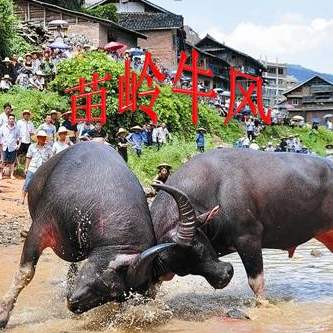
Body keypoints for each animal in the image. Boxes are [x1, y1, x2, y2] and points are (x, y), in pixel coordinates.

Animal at [0, 142, 176, 326]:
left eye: (118, 297)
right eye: (112, 288)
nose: (73, 305)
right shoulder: (40, 227)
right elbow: (25, 273)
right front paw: (3, 314)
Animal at [150, 148, 332, 300]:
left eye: (199, 245)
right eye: (182, 270)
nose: (224, 276)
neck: (215, 190)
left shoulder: (248, 238)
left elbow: (256, 282)